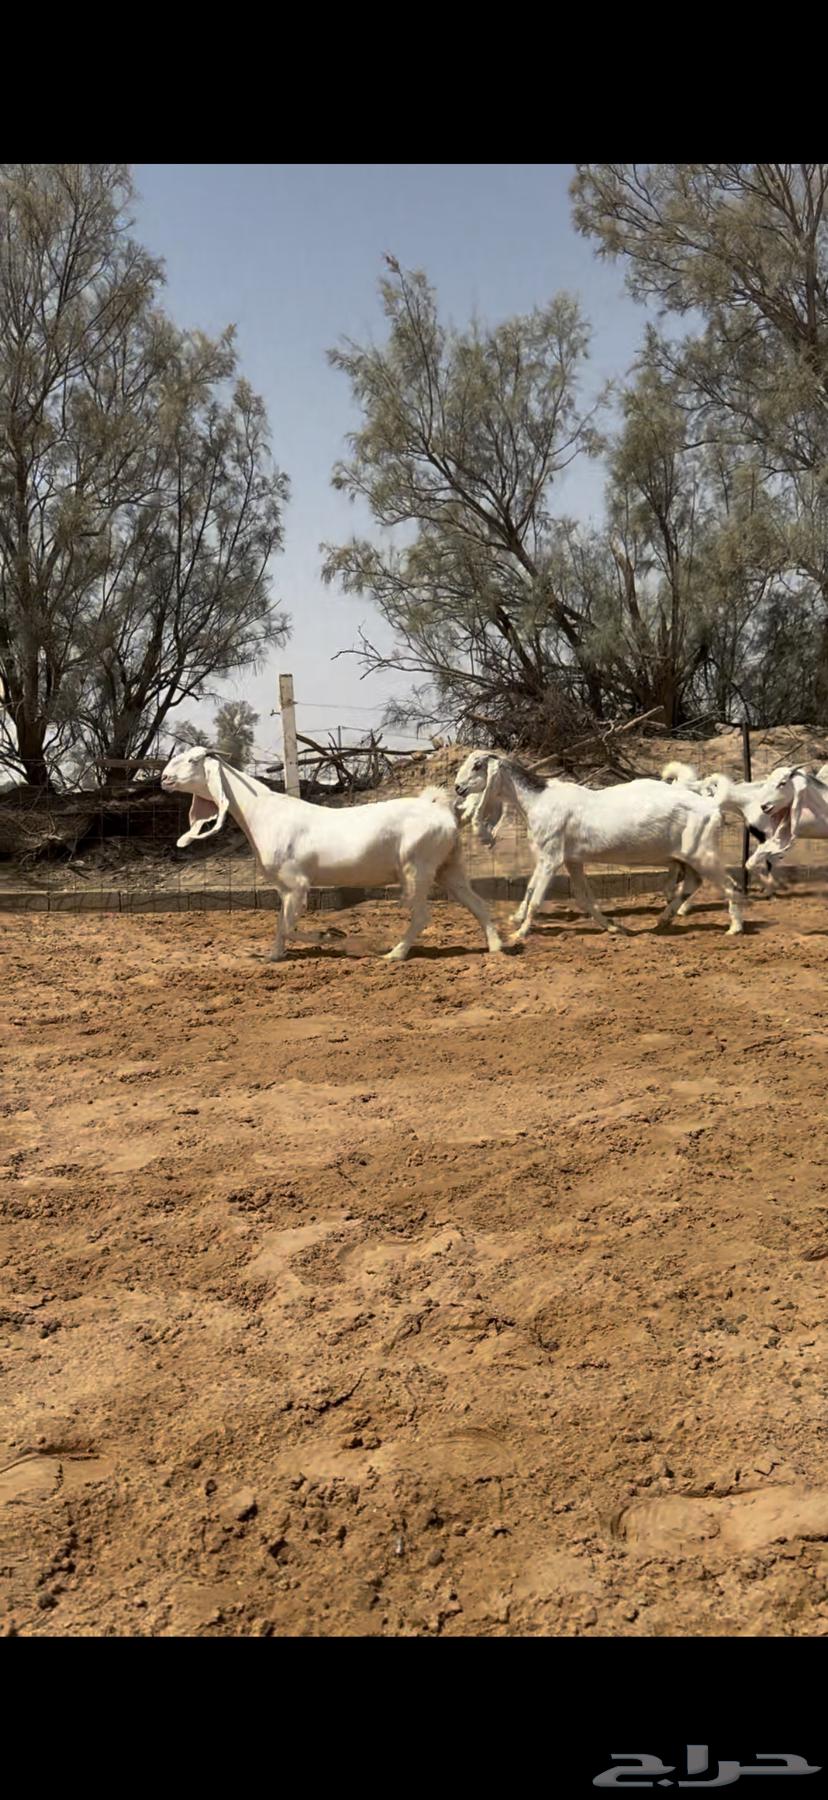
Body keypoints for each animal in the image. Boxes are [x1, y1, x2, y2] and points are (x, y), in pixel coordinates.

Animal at [160, 746, 503, 963]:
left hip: (416, 869)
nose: (164, 779)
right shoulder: (284, 888)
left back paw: (394, 954)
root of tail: (447, 812)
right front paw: (273, 955)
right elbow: (280, 925)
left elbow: (289, 926)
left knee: (422, 915)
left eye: (192, 760)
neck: (263, 812)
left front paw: (330, 935)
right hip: (449, 868)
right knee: (478, 904)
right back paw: (497, 947)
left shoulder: (297, 884)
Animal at [454, 753, 745, 940]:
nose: (458, 788)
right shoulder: (570, 860)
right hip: (691, 857)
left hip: (703, 855)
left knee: (731, 885)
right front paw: (614, 927)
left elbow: (536, 898)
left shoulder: (551, 858)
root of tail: (712, 806)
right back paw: (664, 919)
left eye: (477, 765)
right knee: (693, 883)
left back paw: (735, 927)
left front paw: (520, 932)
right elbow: (581, 897)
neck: (538, 800)